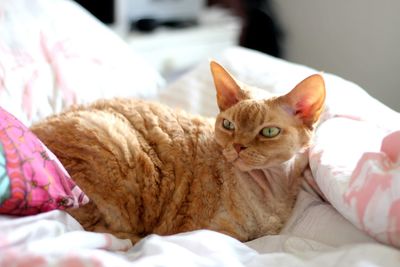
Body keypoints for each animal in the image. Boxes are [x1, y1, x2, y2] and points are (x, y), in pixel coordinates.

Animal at [31, 61, 324, 244]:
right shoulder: (217, 232)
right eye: (229, 125)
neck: (273, 190)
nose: (237, 147)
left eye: (268, 132)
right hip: (112, 139)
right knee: (97, 231)